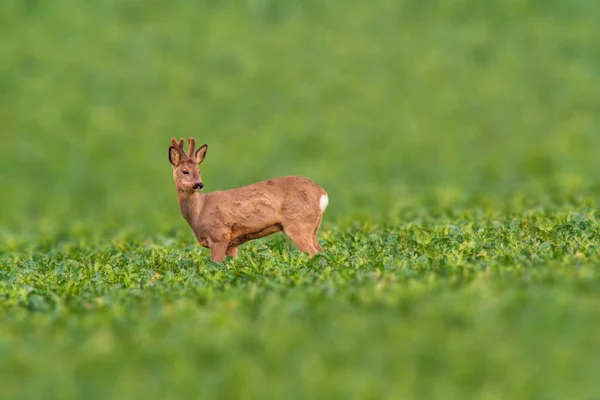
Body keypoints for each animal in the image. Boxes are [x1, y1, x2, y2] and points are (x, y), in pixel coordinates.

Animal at [168, 138, 328, 262]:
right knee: (323, 252)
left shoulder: (219, 236)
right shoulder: (232, 244)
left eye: (199, 171)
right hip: (313, 227)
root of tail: (323, 194)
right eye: (185, 171)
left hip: (298, 224)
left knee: (314, 253)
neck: (199, 211)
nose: (199, 184)